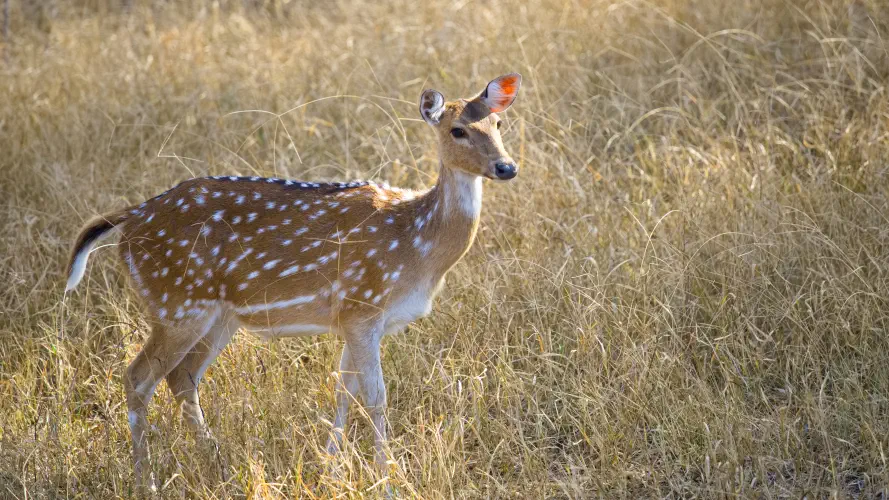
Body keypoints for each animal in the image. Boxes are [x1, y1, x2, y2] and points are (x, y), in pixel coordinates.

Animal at [64, 73, 522, 492]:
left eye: (499, 123)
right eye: (457, 129)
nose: (507, 167)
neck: (417, 245)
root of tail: (129, 220)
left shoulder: (352, 318)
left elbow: (342, 389)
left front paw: (330, 469)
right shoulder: (363, 305)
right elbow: (375, 397)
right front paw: (388, 481)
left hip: (217, 315)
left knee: (182, 378)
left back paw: (217, 464)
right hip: (175, 303)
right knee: (138, 378)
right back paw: (147, 482)